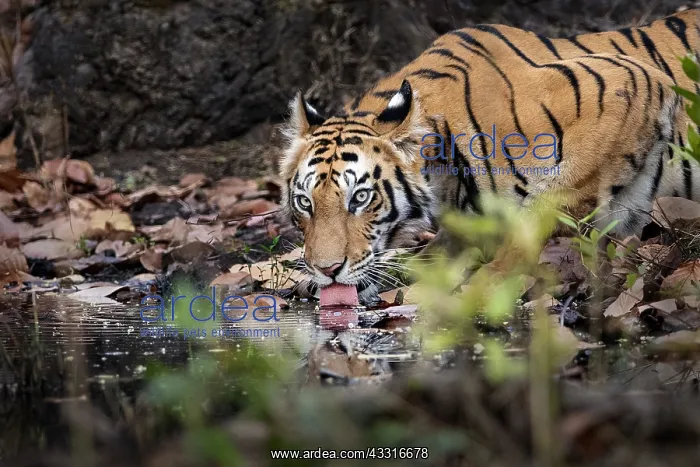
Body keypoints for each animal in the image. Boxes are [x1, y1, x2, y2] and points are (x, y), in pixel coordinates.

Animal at [279, 8, 700, 302]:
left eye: (361, 198)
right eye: (304, 203)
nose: (327, 270)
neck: (445, 177)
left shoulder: (630, 83)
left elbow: (546, 206)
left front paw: (482, 286)